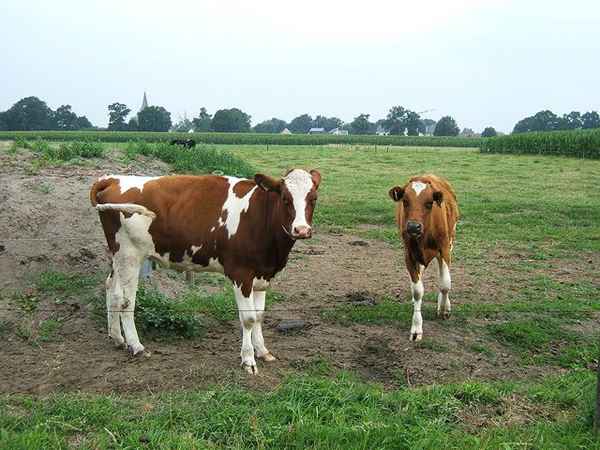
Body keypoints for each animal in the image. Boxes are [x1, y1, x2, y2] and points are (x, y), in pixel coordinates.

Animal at [89, 169, 322, 372]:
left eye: (313, 198)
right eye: (285, 198)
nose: (301, 230)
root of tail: (112, 179)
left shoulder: (262, 274)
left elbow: (259, 315)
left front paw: (263, 351)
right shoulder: (241, 274)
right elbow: (248, 318)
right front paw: (248, 359)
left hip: (119, 256)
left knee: (112, 290)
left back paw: (118, 339)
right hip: (130, 254)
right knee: (126, 301)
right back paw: (136, 346)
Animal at [390, 175, 460, 342]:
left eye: (429, 203)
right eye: (405, 201)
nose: (413, 227)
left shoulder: (445, 249)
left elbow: (445, 284)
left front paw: (443, 309)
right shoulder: (409, 254)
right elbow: (417, 290)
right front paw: (416, 328)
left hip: (450, 242)